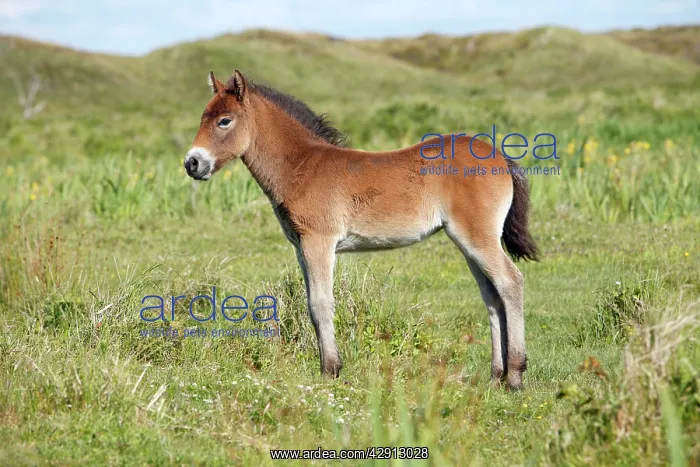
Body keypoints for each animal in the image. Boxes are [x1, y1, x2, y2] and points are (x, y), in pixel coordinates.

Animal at [184, 70, 540, 390]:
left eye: (224, 121)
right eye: (203, 117)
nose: (192, 163)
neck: (302, 166)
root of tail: (499, 157)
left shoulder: (319, 242)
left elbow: (321, 304)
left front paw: (330, 370)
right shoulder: (301, 246)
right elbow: (311, 305)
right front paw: (327, 367)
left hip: (476, 237)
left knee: (511, 282)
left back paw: (515, 377)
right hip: (468, 242)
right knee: (492, 295)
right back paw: (495, 377)